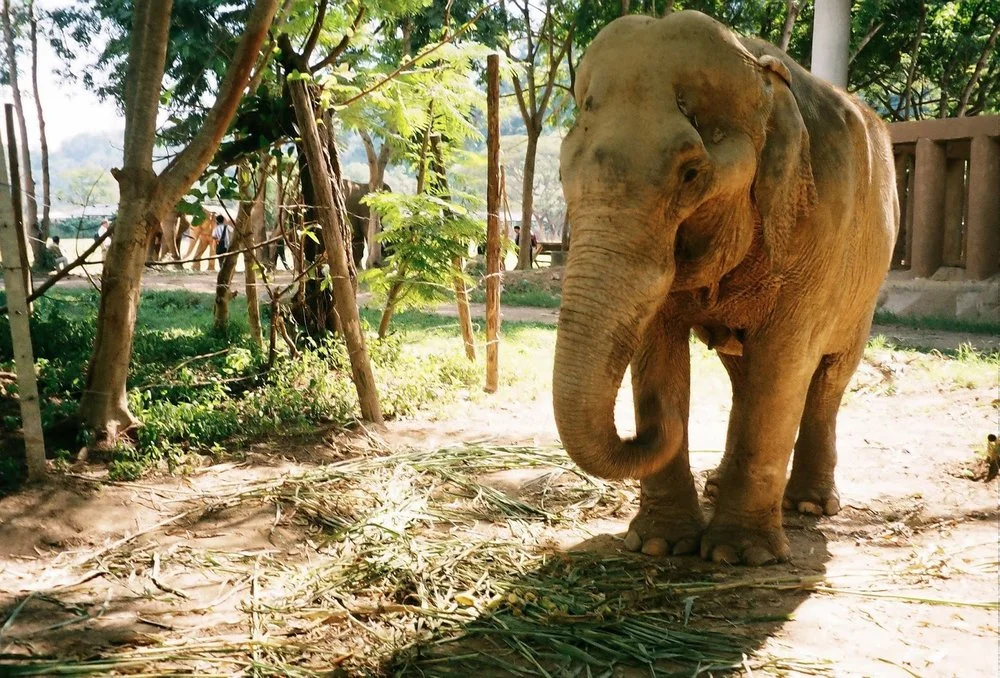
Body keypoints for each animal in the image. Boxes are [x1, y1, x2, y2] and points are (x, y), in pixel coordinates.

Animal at [553, 12, 898, 566]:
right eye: (564, 169)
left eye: (691, 172)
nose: (647, 427)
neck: (762, 78)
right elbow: (657, 346)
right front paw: (660, 544)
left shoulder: (819, 232)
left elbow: (783, 363)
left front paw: (739, 555)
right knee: (743, 375)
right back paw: (719, 485)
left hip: (865, 287)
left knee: (829, 378)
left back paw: (809, 505)